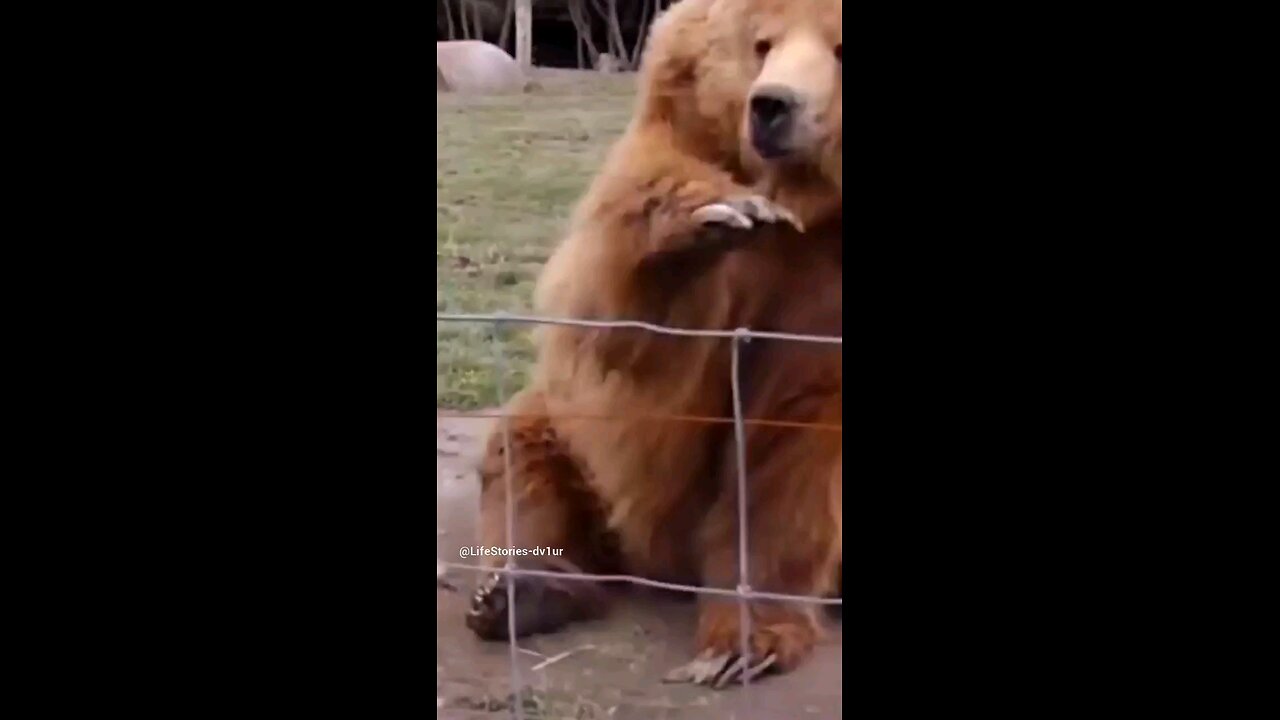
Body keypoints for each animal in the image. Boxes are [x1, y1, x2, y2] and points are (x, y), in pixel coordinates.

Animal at [460, 0, 839, 681]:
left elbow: (788, 444)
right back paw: (523, 591)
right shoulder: (679, 135)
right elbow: (625, 312)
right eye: (761, 42)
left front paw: (745, 644)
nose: (773, 107)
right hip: (569, 432)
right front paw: (716, 216)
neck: (807, 201)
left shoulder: (821, 293)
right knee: (524, 463)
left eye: (840, 47)